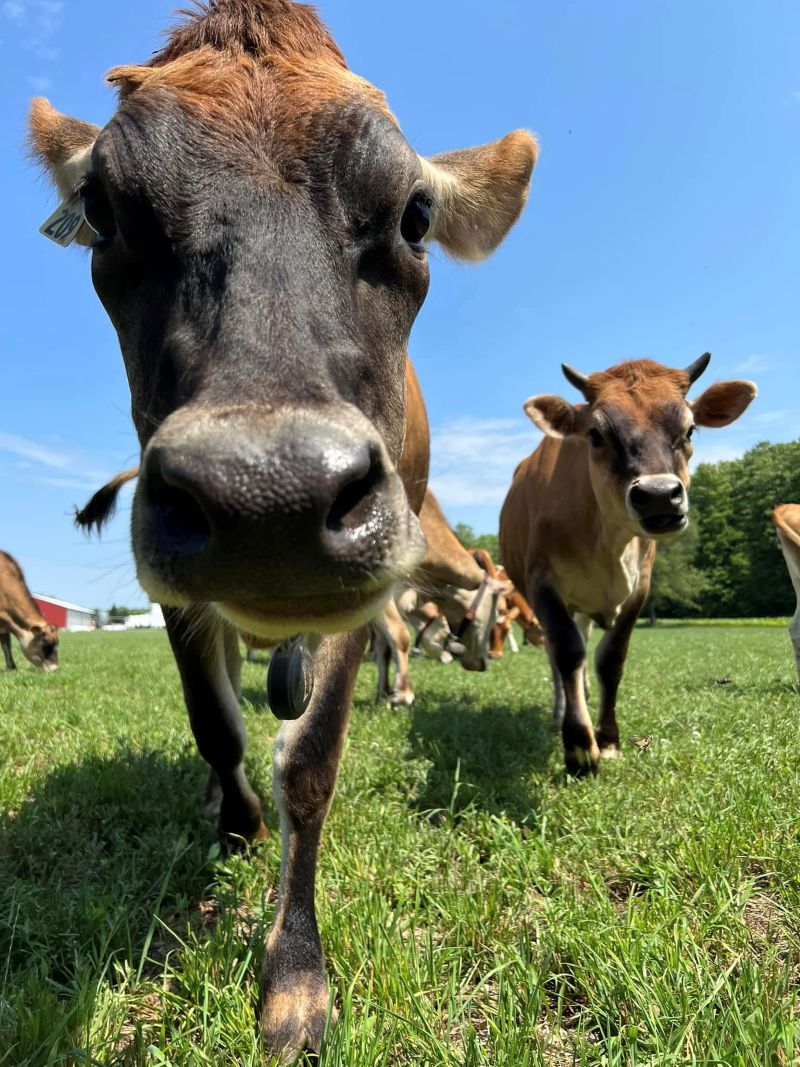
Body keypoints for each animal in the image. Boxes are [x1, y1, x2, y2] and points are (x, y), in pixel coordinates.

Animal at [29, 1, 536, 1055]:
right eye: (104, 209)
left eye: (414, 214)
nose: (269, 492)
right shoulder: (174, 575)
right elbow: (214, 721)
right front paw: (235, 823)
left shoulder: (366, 585)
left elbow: (311, 760)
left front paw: (297, 978)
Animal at [500, 355, 755, 777]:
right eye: (595, 434)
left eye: (690, 429)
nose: (659, 496)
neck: (607, 541)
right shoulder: (541, 583)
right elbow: (566, 651)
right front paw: (579, 746)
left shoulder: (640, 588)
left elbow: (611, 659)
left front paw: (607, 739)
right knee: (559, 656)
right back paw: (561, 709)